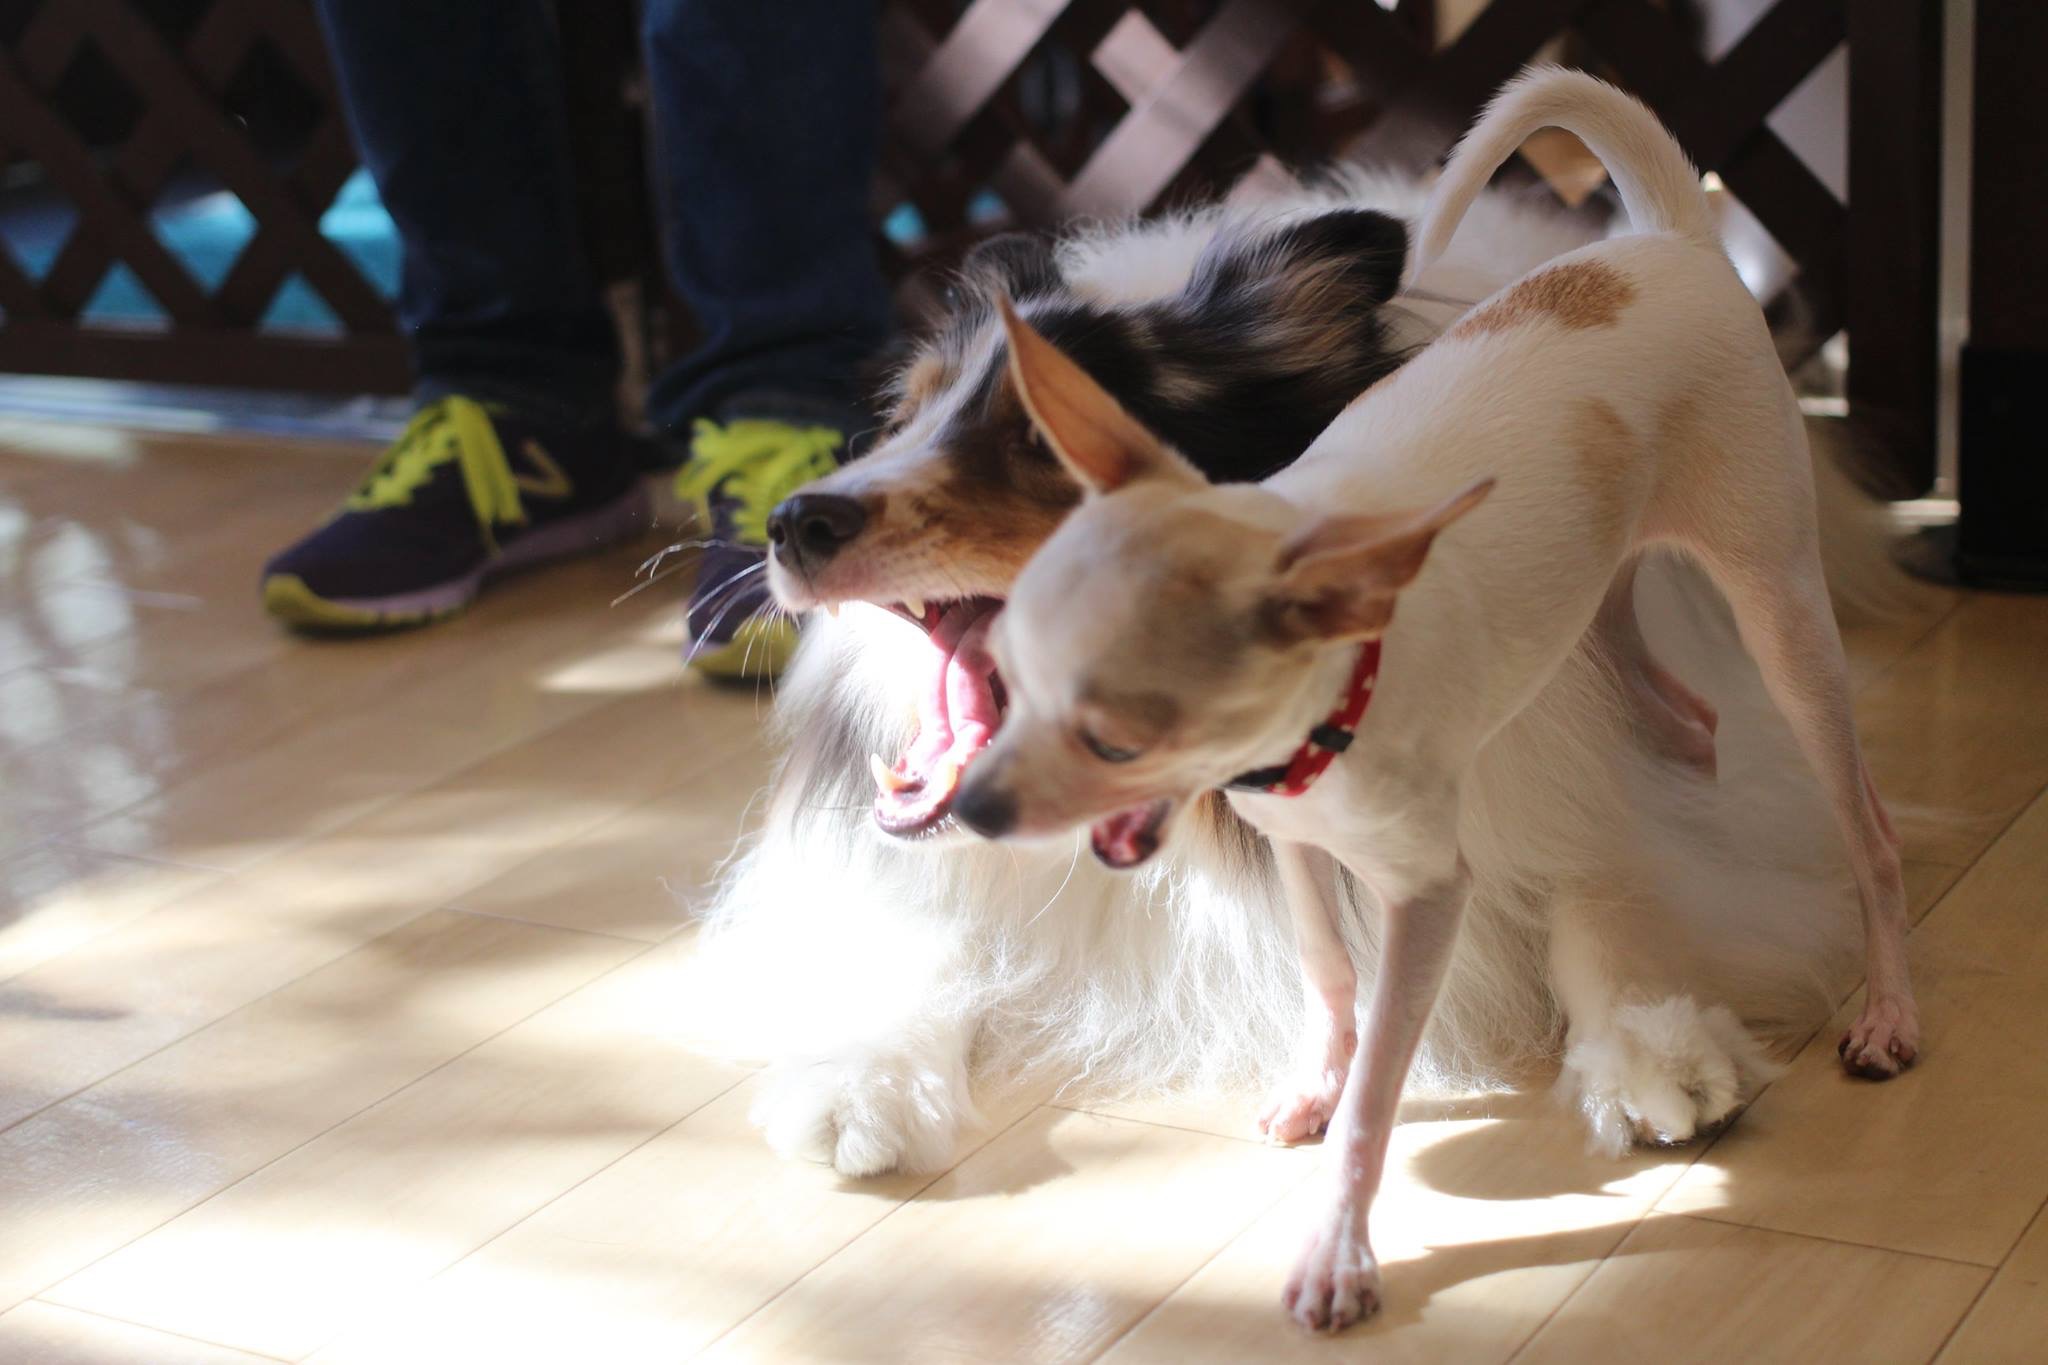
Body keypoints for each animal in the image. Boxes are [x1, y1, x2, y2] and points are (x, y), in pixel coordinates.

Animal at [684, 149, 1884, 1178]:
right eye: (906, 414)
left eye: (1042, 436)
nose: (789, 523)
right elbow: (914, 945)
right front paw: (854, 1083)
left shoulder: (1578, 794)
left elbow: (1607, 897)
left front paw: (1657, 1053)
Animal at [958, 66, 1916, 1334]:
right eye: (1005, 681)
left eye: (1116, 739)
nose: (969, 809)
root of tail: (1661, 237)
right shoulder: (1291, 837)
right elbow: (1325, 970)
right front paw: (1314, 1084)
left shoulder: (1426, 894)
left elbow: (1380, 1085)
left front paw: (1337, 1247)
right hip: (1599, 607)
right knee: (1687, 721)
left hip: (1778, 607)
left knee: (1867, 828)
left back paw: (1887, 1009)